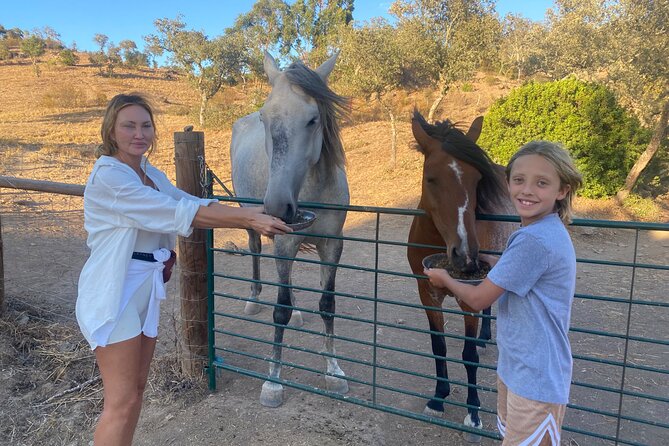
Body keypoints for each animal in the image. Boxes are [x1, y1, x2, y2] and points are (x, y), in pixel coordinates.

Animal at [230, 51, 350, 408]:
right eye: (265, 119)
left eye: (313, 119)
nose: (277, 206)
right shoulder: (283, 241)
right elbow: (279, 310)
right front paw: (273, 381)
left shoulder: (332, 244)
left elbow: (327, 305)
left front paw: (334, 371)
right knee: (256, 250)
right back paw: (254, 298)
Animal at [406, 110, 516, 435]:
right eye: (431, 178)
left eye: (477, 180)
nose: (465, 254)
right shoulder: (427, 294)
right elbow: (438, 345)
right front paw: (438, 398)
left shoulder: (469, 299)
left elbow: (469, 356)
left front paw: (473, 411)